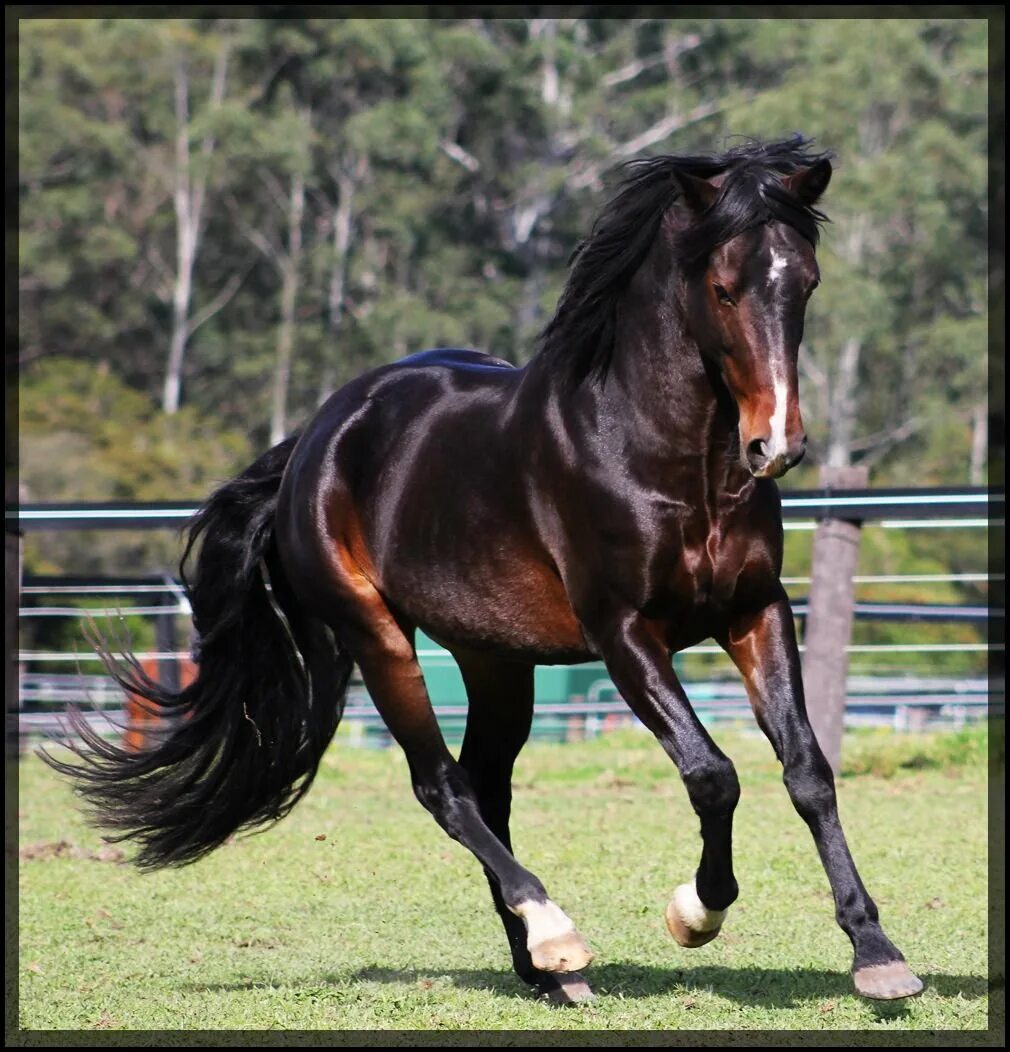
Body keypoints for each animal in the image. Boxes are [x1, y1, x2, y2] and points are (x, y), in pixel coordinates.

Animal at [49, 137, 921, 1001]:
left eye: (805, 282)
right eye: (723, 286)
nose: (776, 444)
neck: (657, 455)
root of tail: (316, 437)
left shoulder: (755, 612)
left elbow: (808, 771)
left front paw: (876, 953)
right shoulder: (625, 633)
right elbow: (712, 774)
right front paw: (694, 914)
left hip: (495, 656)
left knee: (487, 785)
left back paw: (544, 971)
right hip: (377, 636)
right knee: (443, 785)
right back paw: (556, 936)